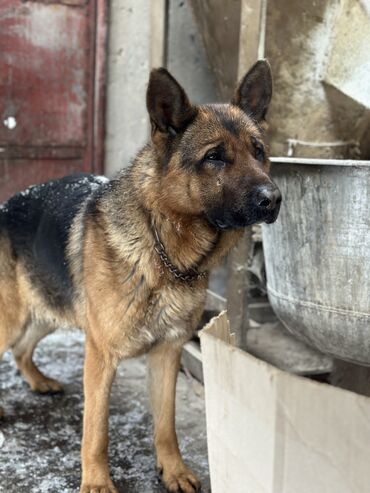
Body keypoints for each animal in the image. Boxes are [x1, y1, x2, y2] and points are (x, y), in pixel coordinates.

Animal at [0, 59, 280, 490]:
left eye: (259, 151)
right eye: (215, 157)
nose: (274, 199)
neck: (164, 254)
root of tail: (5, 205)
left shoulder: (168, 352)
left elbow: (167, 424)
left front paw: (173, 469)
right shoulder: (101, 356)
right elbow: (96, 430)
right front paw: (97, 481)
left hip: (48, 309)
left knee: (21, 349)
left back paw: (39, 380)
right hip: (12, 317)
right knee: (15, 343)